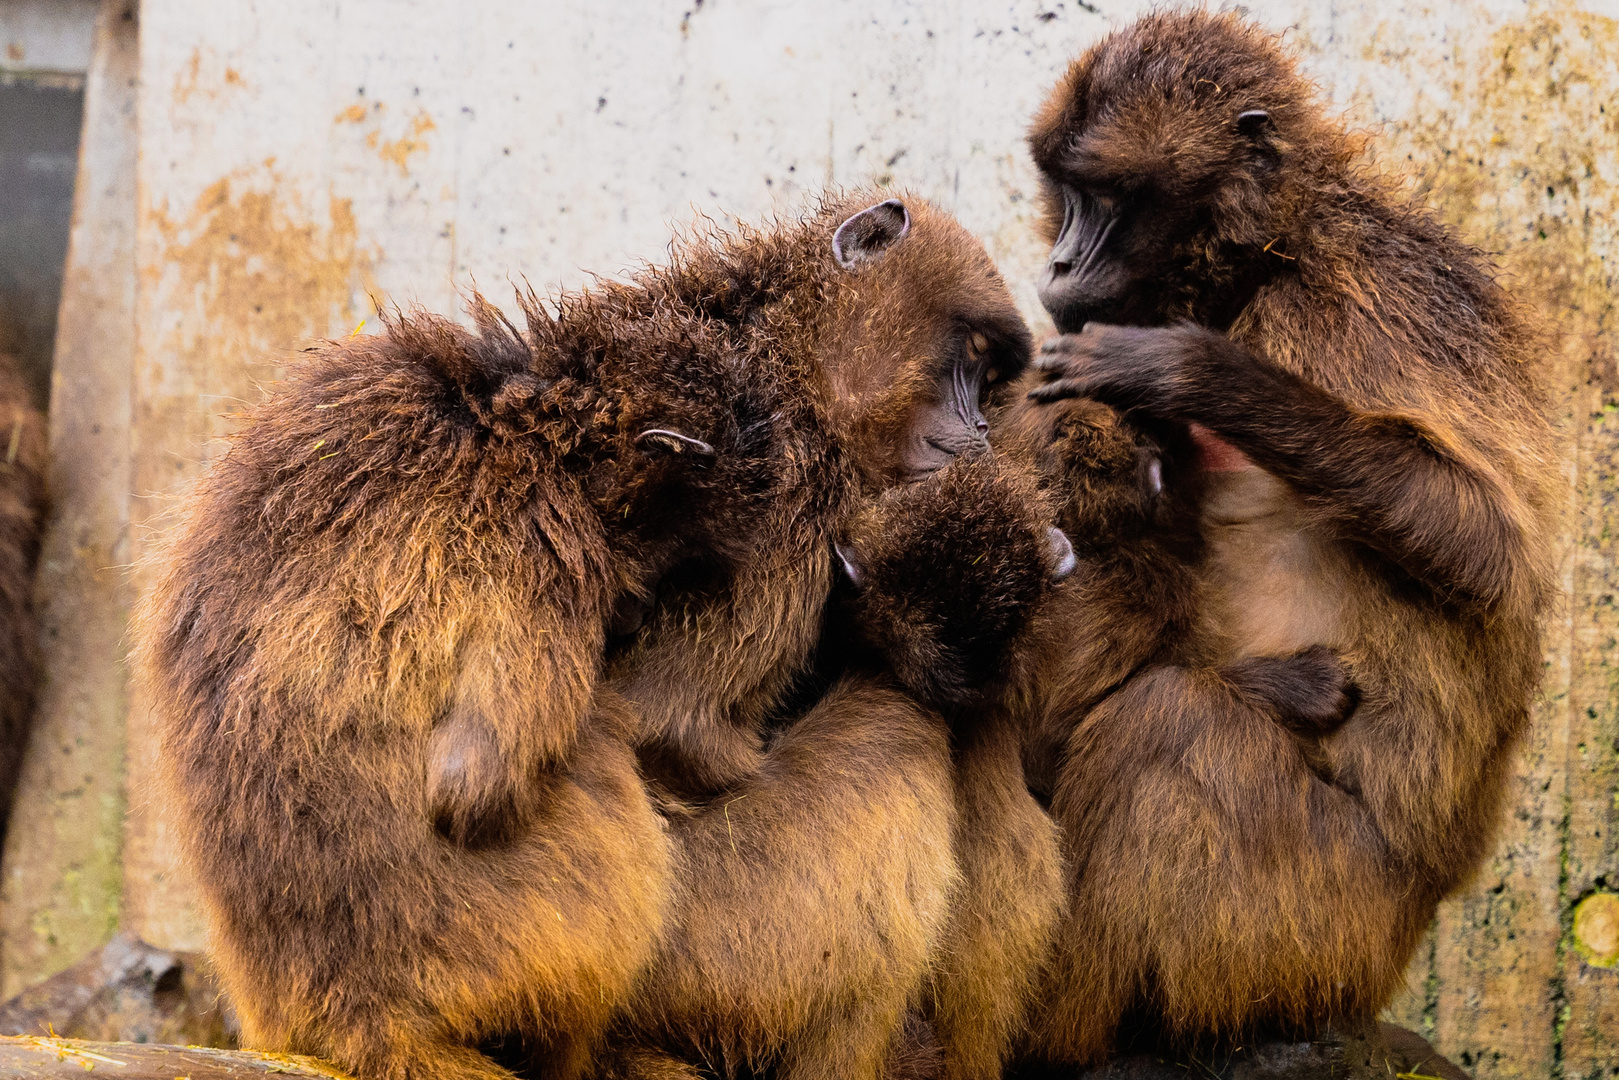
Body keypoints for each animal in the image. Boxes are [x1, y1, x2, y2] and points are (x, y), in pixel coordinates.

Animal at [132, 194, 1029, 1080]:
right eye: (966, 361)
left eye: (988, 378)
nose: (980, 427)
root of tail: (347, 1013)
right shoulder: (791, 499)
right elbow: (663, 737)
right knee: (898, 726)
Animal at [1010, 8, 1554, 1062]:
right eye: (1066, 195)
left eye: (1105, 199)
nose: (1057, 263)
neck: (1267, 259)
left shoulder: (1377, 302)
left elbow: (1487, 546)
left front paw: (1197, 373)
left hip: (1318, 929)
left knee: (1169, 724)